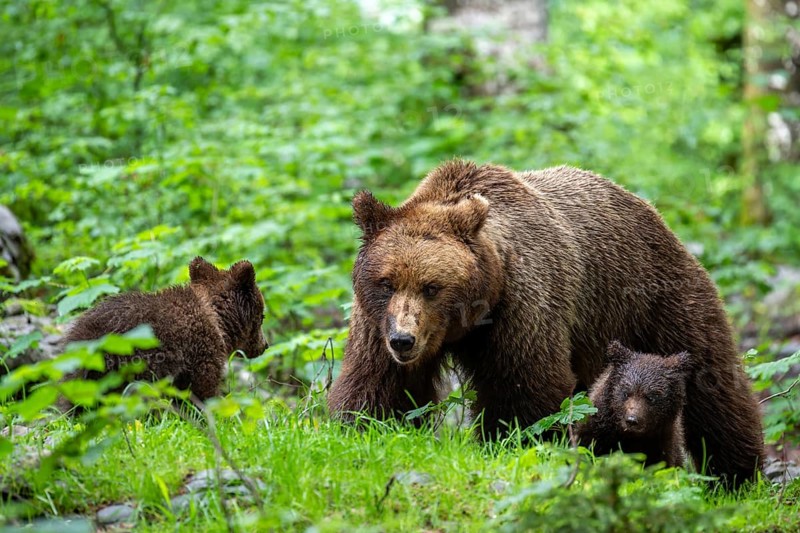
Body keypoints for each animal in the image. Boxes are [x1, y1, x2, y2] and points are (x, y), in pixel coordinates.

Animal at [328, 159, 764, 487]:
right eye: (386, 282)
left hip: (653, 299)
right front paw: (363, 429)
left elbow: (526, 392)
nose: (404, 340)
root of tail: (651, 209)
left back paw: (737, 475)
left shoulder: (523, 307)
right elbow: (376, 388)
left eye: (432, 286)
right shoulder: (375, 323)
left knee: (713, 382)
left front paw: (512, 443)